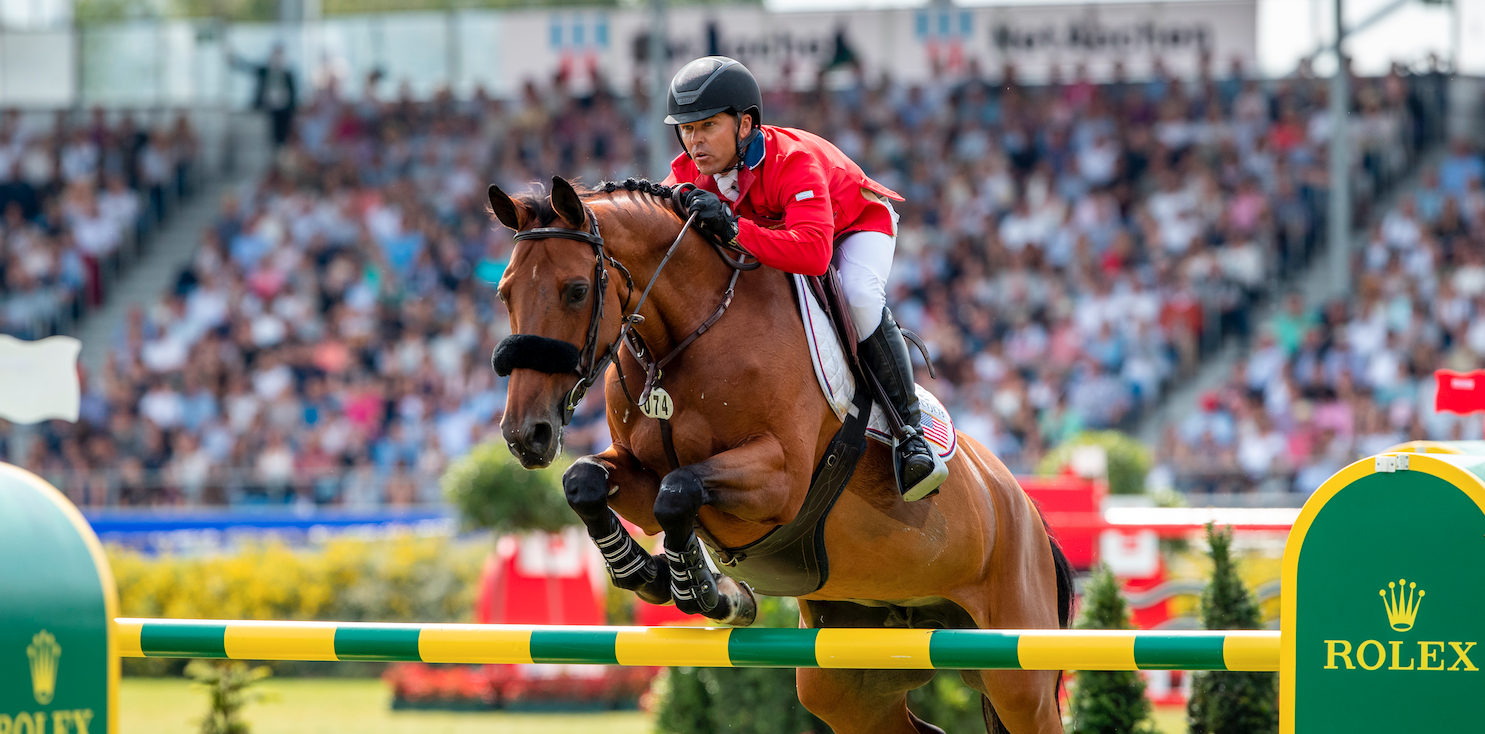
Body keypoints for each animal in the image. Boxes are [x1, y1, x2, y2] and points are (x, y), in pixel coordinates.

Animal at [493, 174, 1075, 731]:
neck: (688, 338)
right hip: (850, 678)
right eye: (504, 294)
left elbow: (678, 491)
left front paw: (702, 590)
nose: (526, 434)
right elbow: (586, 482)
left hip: (1019, 675)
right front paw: (649, 574)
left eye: (574, 291)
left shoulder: (781, 480)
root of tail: (1025, 508)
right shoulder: (638, 472)